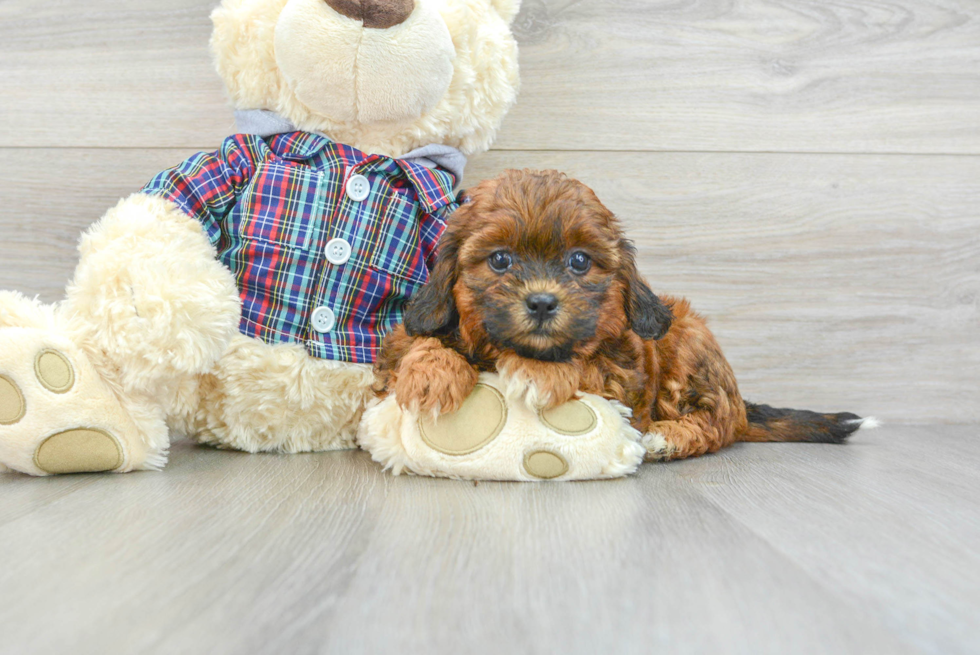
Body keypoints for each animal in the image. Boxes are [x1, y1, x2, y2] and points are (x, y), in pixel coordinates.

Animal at [374, 169, 864, 462]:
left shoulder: (619, 383)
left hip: (688, 337)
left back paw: (670, 437)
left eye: (579, 261)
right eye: (499, 260)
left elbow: (581, 364)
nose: (542, 303)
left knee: (720, 420)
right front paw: (431, 373)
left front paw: (536, 372)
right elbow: (416, 342)